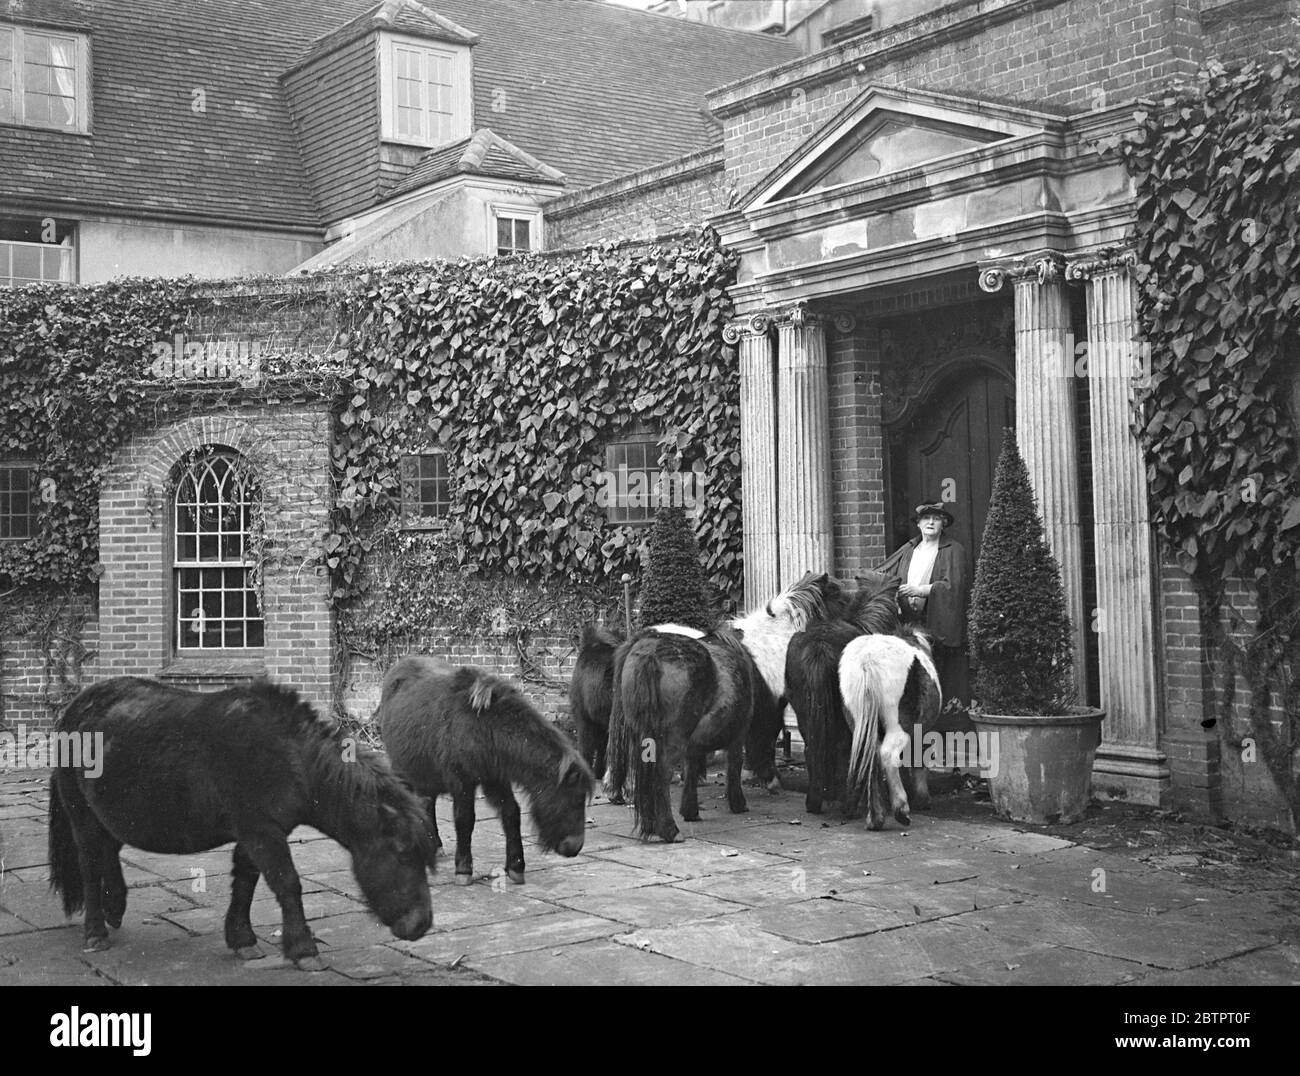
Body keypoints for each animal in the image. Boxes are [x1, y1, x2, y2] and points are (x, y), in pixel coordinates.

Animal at [48, 675, 434, 961]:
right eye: (402, 854)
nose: (421, 926)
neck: (291, 758)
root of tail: (74, 709)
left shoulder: (258, 832)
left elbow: (247, 881)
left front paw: (241, 938)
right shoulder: (260, 831)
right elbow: (286, 882)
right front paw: (302, 948)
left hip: (110, 813)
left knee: (108, 853)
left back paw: (115, 907)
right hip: (81, 816)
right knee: (90, 863)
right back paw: (96, 931)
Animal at [379, 660, 595, 888]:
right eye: (576, 798)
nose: (575, 847)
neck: (484, 728)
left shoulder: (496, 779)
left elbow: (511, 813)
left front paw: (516, 866)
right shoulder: (462, 781)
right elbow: (465, 820)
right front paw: (463, 869)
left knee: (427, 803)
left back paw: (435, 845)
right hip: (403, 770)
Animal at [603, 626, 759, 847]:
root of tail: (650, 650)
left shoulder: (693, 743)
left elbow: (691, 769)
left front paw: (690, 810)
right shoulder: (739, 734)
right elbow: (734, 766)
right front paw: (738, 803)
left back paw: (651, 825)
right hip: (672, 738)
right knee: (661, 775)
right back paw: (669, 830)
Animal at [780, 571, 904, 816]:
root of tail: (819, 647)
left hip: (804, 712)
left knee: (813, 747)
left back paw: (817, 800)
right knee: (844, 749)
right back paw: (847, 802)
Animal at [837, 631, 941, 831]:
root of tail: (867, 659)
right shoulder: (921, 733)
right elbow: (918, 761)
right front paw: (923, 799)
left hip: (860, 722)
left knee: (872, 757)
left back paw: (875, 818)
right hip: (898, 726)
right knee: (887, 755)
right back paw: (901, 810)